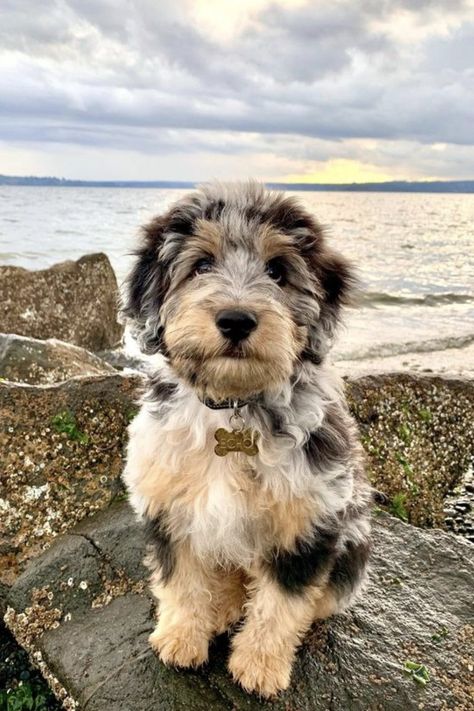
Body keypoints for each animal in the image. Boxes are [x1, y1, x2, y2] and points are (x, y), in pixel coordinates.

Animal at [123, 181, 374, 700]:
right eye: (201, 265)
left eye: (277, 271)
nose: (236, 319)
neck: (234, 403)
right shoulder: (167, 504)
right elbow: (181, 580)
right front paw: (180, 638)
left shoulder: (309, 520)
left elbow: (282, 602)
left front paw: (260, 666)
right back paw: (221, 609)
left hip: (354, 543)